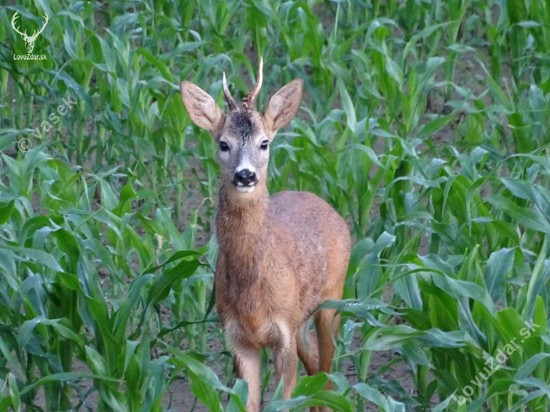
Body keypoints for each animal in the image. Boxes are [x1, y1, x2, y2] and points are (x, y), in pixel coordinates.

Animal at [181, 58, 354, 412]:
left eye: (264, 142)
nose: (245, 175)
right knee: (315, 367)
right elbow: (247, 402)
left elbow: (285, 399)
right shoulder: (237, 339)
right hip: (302, 319)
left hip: (332, 297)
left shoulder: (283, 335)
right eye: (223, 143)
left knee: (327, 372)